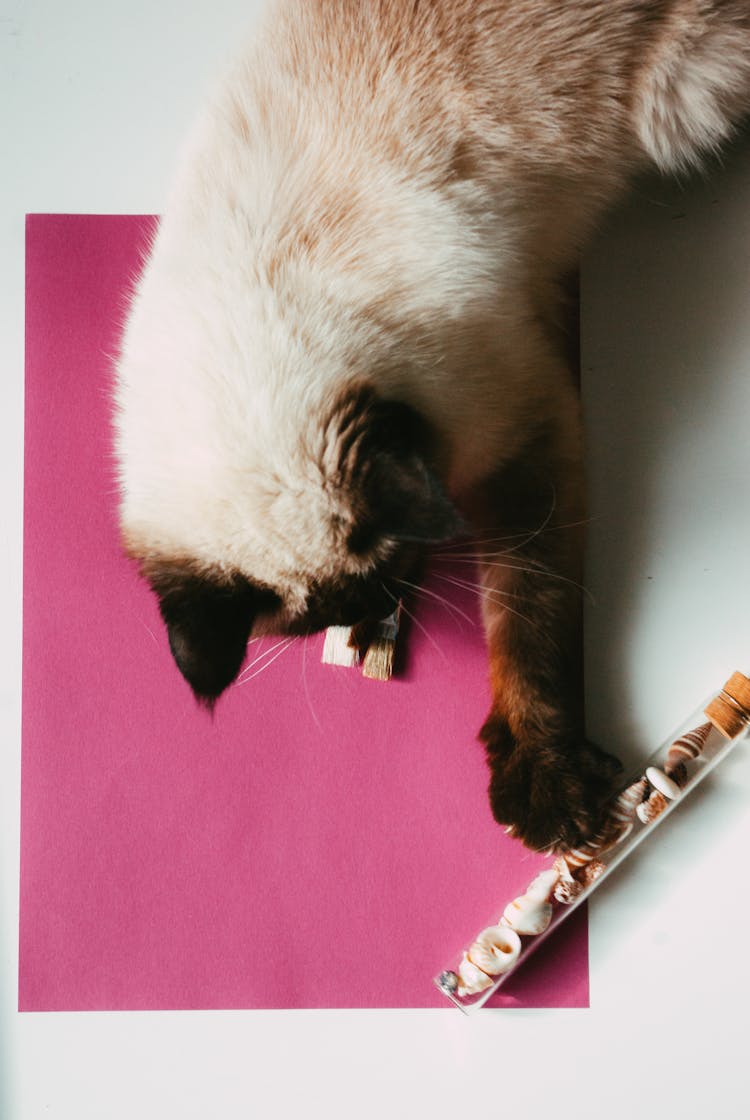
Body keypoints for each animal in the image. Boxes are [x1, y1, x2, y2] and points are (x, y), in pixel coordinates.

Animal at [114, 2, 750, 846]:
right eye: (338, 613)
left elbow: (527, 611)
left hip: (690, 88)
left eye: (384, 575)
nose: (379, 611)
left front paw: (545, 785)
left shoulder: (526, 434)